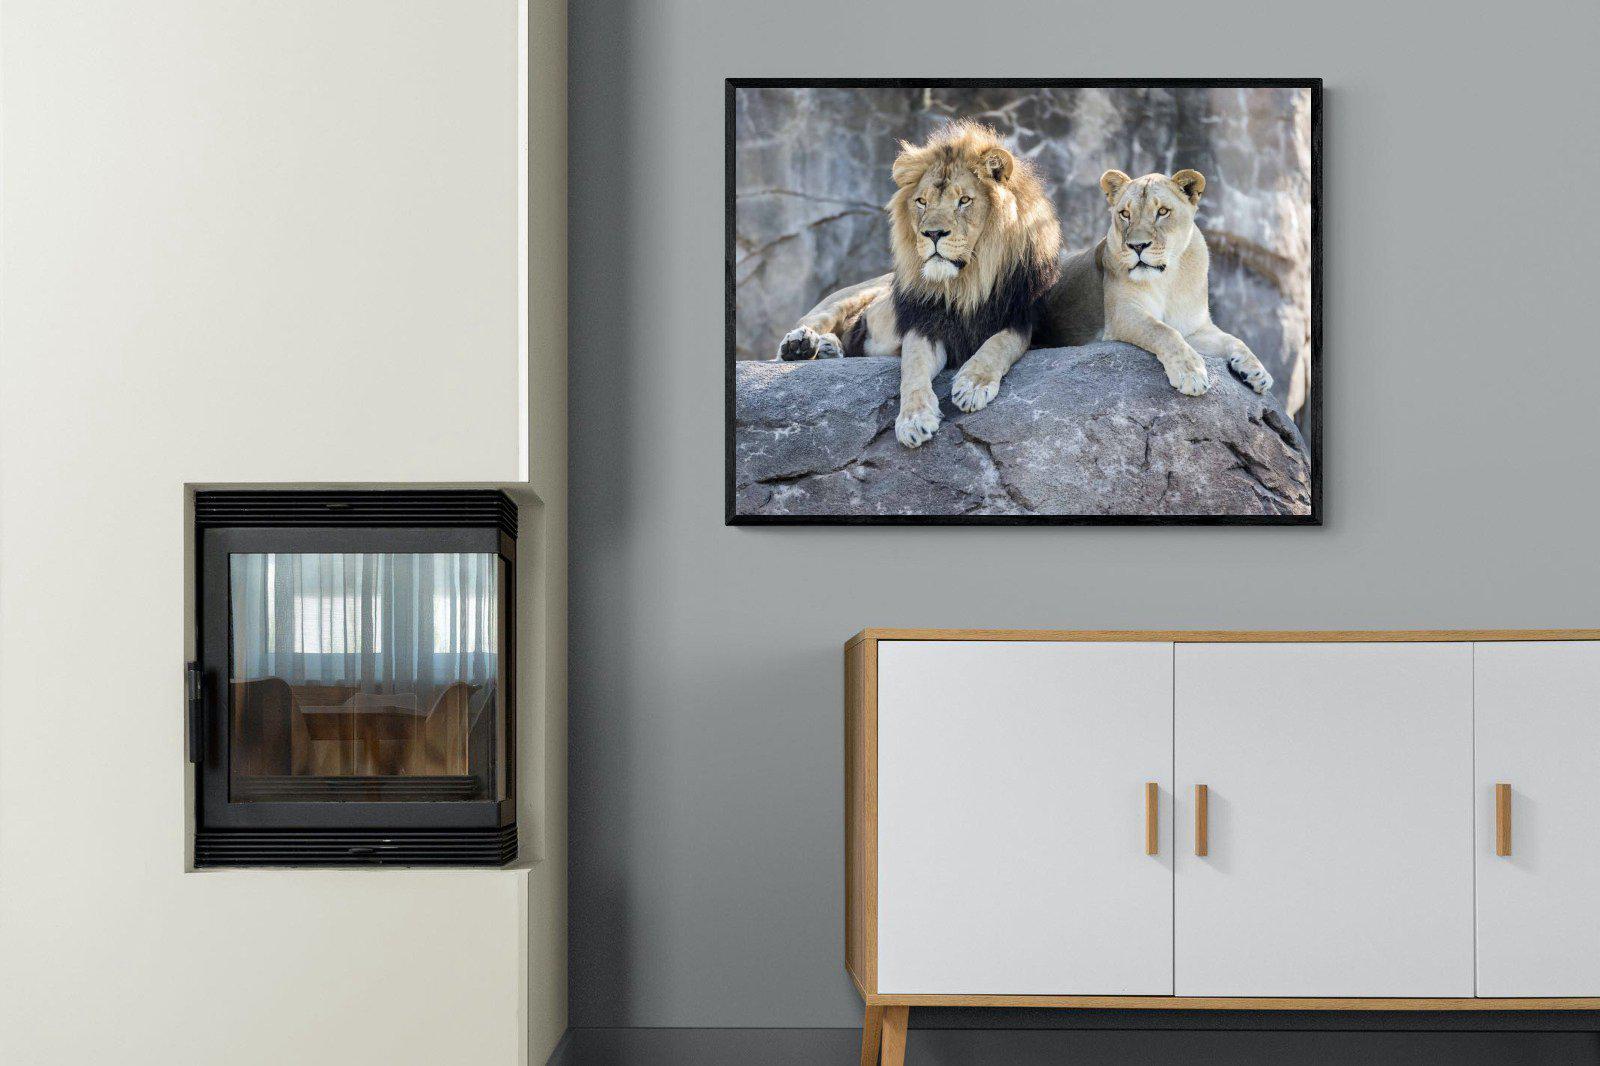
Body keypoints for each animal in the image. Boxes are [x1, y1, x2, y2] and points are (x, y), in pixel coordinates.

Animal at [775, 121, 1062, 448]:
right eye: (921, 202)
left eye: (964, 200)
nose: (932, 233)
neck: (965, 284)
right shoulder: (924, 324)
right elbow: (912, 369)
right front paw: (913, 420)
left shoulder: (1021, 319)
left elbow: (998, 344)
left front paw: (973, 385)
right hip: (849, 295)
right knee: (813, 320)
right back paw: (801, 345)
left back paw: (827, 348)